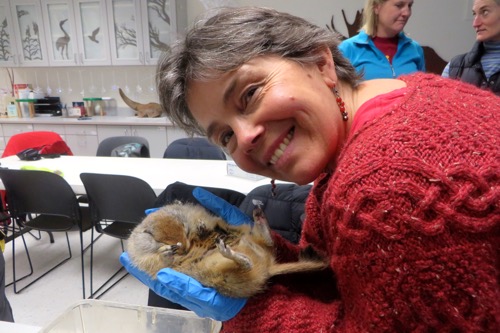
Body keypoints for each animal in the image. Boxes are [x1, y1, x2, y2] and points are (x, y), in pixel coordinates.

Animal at [125, 201, 328, 296]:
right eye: (152, 236)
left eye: (185, 228)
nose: (182, 248)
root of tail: (268, 267)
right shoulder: (144, 258)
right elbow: (158, 261)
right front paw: (166, 252)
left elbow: (202, 224)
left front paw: (201, 227)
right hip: (224, 273)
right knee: (249, 261)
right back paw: (232, 250)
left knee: (268, 244)